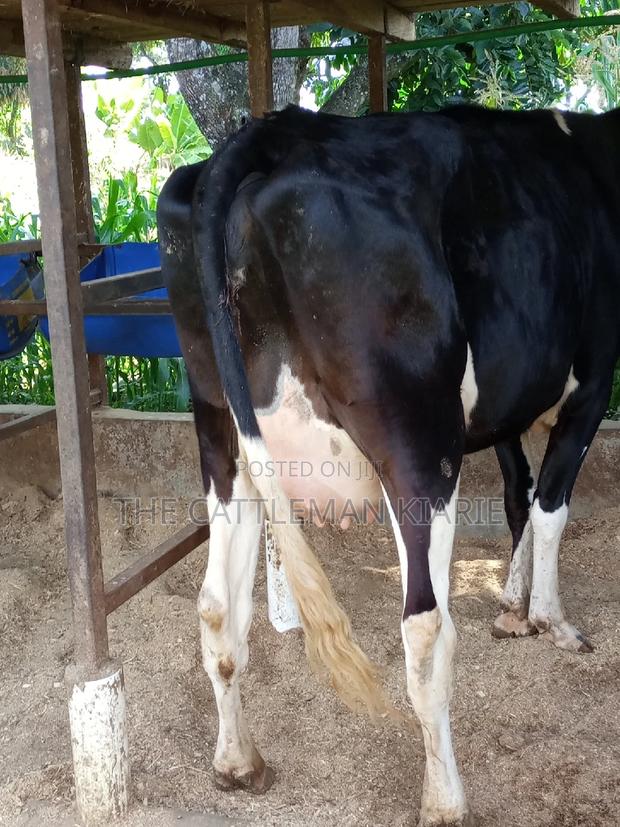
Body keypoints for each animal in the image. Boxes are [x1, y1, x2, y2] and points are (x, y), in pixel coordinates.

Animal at [157, 104, 620, 826]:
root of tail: (272, 133)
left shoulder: (505, 407)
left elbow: (519, 493)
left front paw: (513, 607)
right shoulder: (592, 381)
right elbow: (549, 505)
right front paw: (549, 617)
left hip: (220, 431)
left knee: (215, 606)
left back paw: (237, 762)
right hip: (419, 441)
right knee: (425, 630)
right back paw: (445, 798)